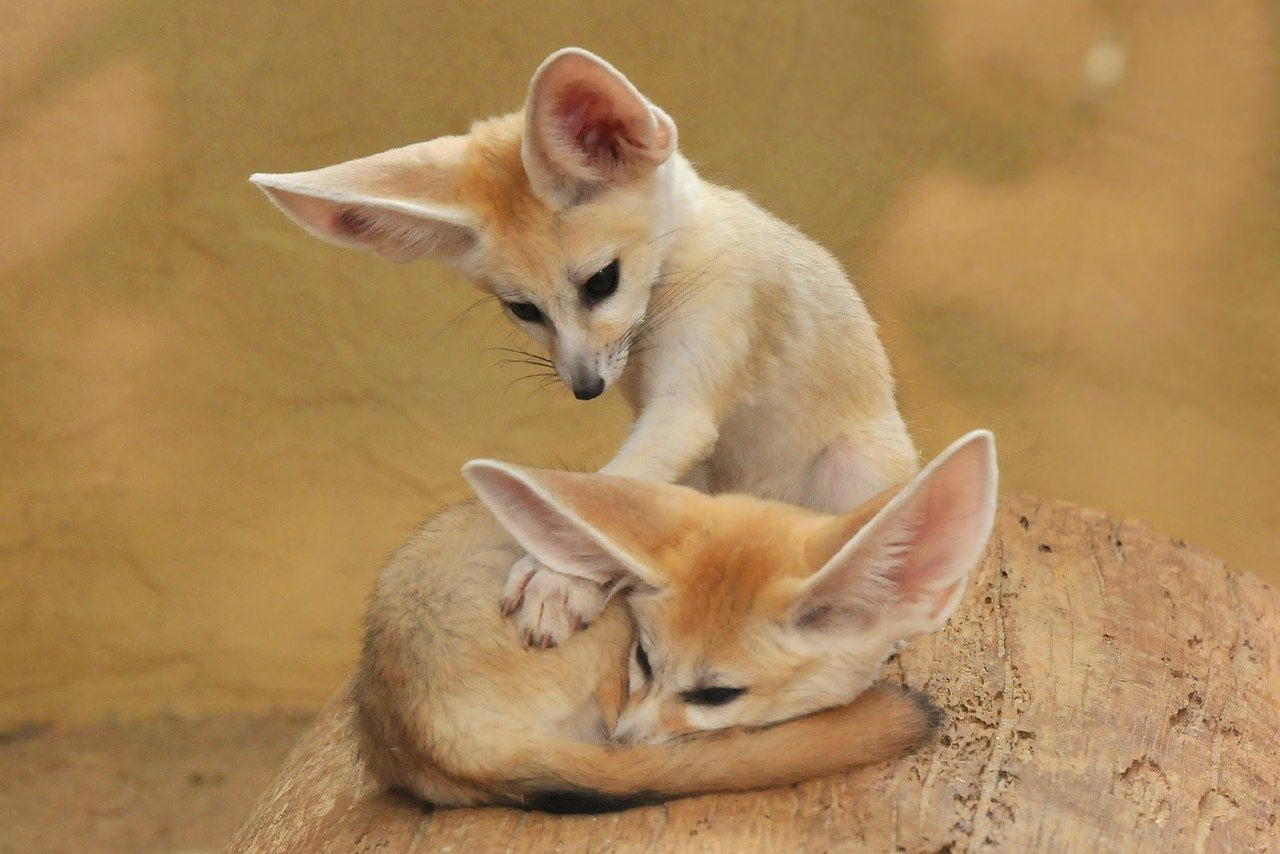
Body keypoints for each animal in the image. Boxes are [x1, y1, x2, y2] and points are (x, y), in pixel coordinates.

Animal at [251, 47, 919, 646]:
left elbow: (617, 487)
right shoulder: (662, 421)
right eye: (523, 310)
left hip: (851, 464)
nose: (585, 389)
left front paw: (557, 581)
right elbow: (614, 501)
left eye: (602, 282)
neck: (678, 264)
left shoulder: (685, 403)